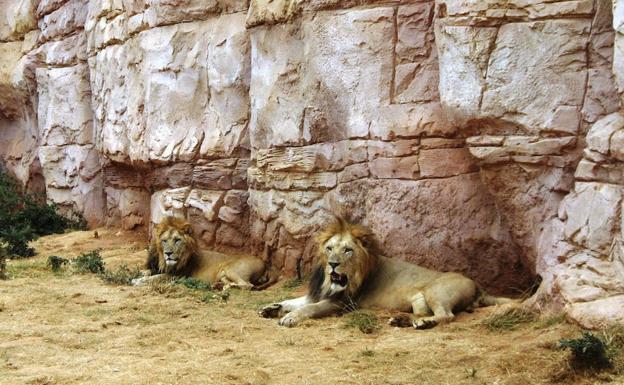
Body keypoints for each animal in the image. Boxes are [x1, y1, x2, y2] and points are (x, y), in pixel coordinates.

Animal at [133, 216, 274, 288]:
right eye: (164, 241)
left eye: (177, 240)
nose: (168, 253)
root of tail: (266, 265)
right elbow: (149, 272)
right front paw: (140, 274)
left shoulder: (179, 276)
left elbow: (157, 277)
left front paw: (138, 281)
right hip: (224, 274)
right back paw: (218, 286)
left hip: (230, 268)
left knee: (247, 285)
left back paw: (228, 287)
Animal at [258, 218, 516, 328]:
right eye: (329, 248)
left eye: (347, 250)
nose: (332, 264)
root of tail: (478, 286)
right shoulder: (319, 293)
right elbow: (294, 300)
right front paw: (271, 308)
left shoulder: (342, 303)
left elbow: (309, 308)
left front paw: (290, 317)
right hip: (419, 302)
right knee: (425, 313)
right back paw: (401, 320)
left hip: (436, 291)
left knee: (446, 315)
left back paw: (423, 324)